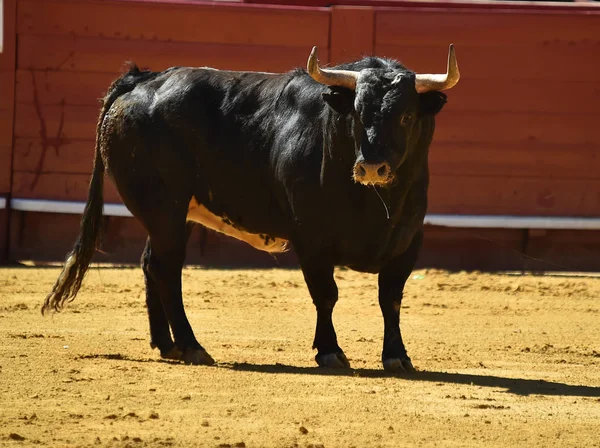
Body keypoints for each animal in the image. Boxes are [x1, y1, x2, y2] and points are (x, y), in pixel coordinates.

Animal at [43, 47, 460, 372]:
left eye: (406, 116)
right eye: (356, 114)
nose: (371, 167)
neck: (373, 204)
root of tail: (142, 78)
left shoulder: (409, 240)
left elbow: (391, 299)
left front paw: (397, 356)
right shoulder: (311, 237)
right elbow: (326, 294)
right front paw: (330, 352)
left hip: (172, 215)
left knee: (151, 265)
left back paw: (168, 345)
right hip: (163, 208)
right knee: (166, 270)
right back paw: (192, 347)